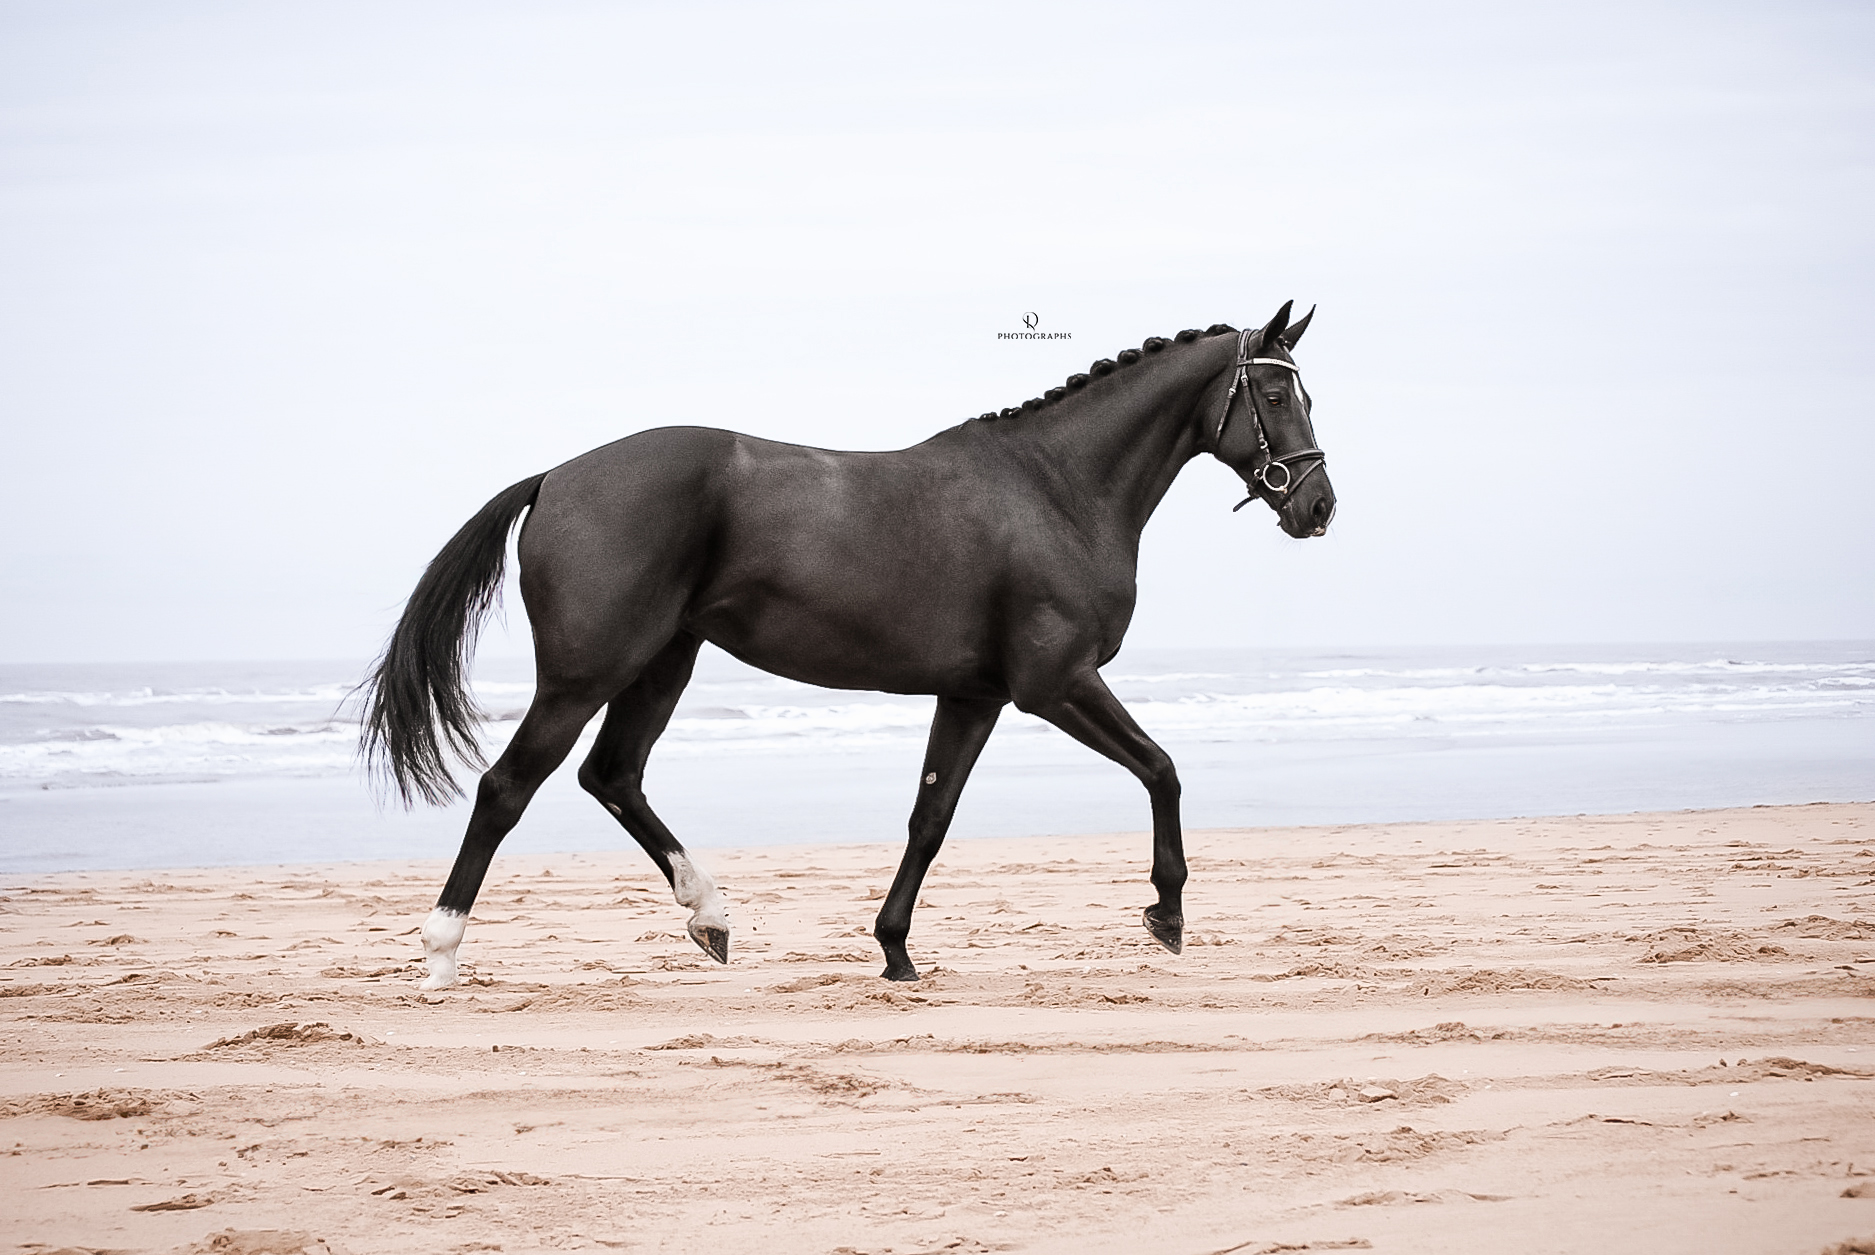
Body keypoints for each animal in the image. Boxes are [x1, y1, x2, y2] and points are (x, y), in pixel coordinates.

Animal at [361, 298, 1335, 982]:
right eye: (1274, 391)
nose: (1317, 505)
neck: (1053, 488)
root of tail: (557, 476)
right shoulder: (1054, 683)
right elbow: (1161, 769)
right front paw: (1166, 915)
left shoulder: (974, 695)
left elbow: (930, 818)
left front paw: (894, 949)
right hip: (588, 672)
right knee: (507, 787)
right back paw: (441, 952)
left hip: (662, 663)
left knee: (612, 775)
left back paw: (709, 916)